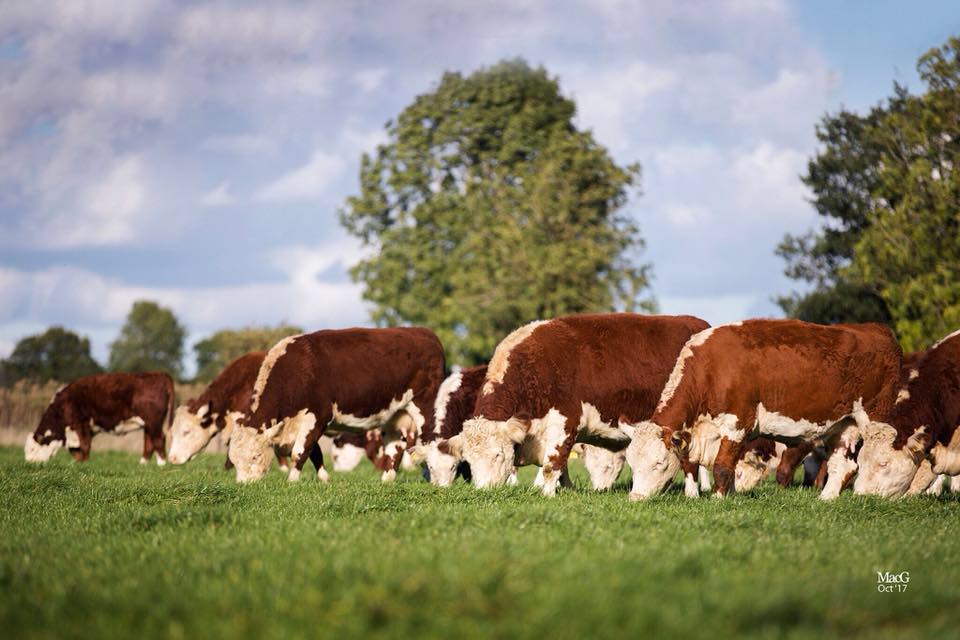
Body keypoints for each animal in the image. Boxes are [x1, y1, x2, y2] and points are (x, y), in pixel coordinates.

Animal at [24, 372, 175, 465]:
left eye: (32, 449)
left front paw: (83, 463)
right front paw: (78, 463)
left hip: (154, 421)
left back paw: (161, 464)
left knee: (159, 440)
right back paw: (143, 464)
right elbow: (76, 450)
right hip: (148, 424)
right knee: (149, 443)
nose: (29, 463)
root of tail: (159, 374)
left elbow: (84, 445)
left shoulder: (81, 424)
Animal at [227, 327, 445, 483]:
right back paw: (387, 479)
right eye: (234, 459)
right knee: (396, 446)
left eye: (255, 456)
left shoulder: (316, 416)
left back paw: (432, 476)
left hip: (424, 404)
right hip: (395, 413)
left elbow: (301, 451)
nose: (244, 484)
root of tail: (424, 332)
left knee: (429, 438)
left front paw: (292, 481)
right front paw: (324, 479)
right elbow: (314, 452)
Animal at [441, 313, 710, 497]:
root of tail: (699, 323)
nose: (485, 490)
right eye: (469, 460)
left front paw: (547, 494)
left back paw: (693, 492)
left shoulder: (563, 424)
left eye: (498, 454)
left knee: (691, 461)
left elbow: (552, 464)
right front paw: (567, 491)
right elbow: (562, 468)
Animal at [624, 319, 902, 500]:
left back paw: (870, 494)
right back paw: (827, 498)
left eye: (659, 463)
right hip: (844, 425)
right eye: (631, 462)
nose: (635, 498)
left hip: (874, 419)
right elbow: (719, 465)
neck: (711, 370)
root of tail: (876, 329)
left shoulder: (736, 424)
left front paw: (718, 499)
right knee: (843, 465)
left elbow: (722, 466)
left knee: (875, 454)